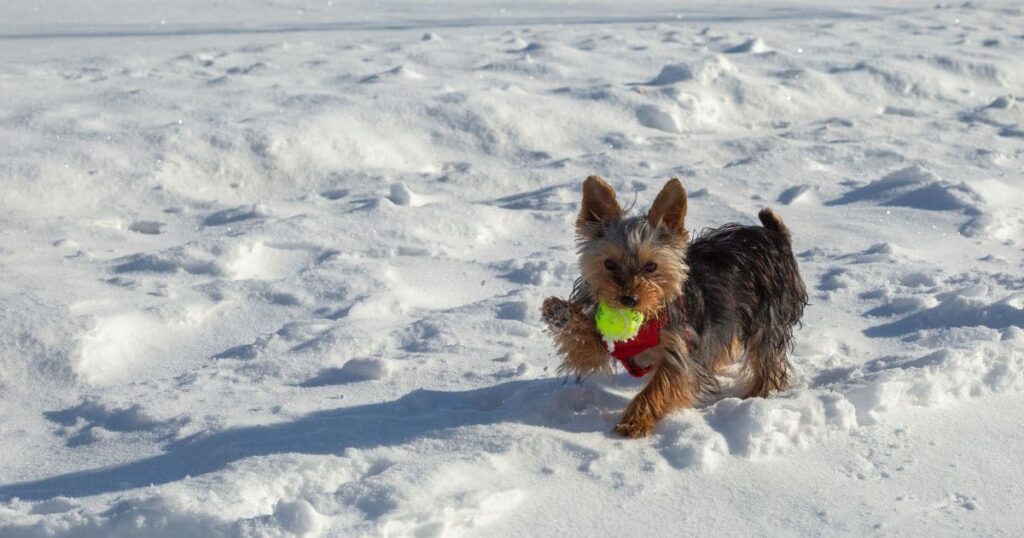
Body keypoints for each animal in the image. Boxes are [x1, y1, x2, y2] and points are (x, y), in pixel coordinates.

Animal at [540, 176, 811, 436]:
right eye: (609, 264)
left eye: (651, 267)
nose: (629, 299)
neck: (647, 319)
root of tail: (773, 235)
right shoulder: (608, 342)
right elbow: (587, 347)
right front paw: (560, 313)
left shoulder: (679, 350)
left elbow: (662, 385)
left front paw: (634, 422)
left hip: (770, 313)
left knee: (766, 356)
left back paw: (757, 395)